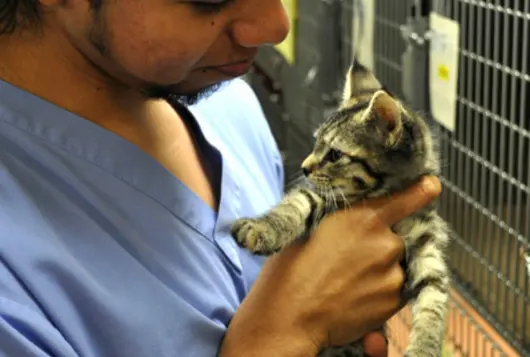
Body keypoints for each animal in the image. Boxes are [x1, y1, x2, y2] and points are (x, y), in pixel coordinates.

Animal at [229, 61, 448, 356]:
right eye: (316, 143)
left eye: (335, 154)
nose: (304, 167)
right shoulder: (319, 197)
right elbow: (295, 205)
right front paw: (261, 228)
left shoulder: (427, 246)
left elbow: (433, 302)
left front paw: (424, 347)